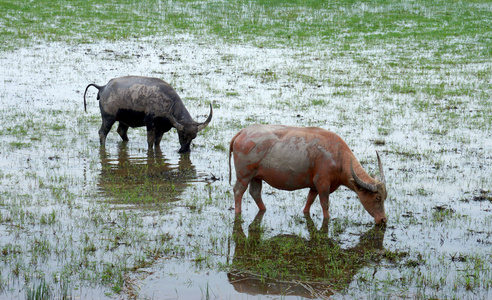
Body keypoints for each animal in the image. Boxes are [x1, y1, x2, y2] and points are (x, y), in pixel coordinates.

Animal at [83, 76, 213, 154]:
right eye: (182, 134)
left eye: (194, 137)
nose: (185, 151)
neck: (167, 101)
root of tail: (103, 87)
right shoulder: (150, 124)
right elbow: (150, 142)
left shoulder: (161, 129)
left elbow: (157, 142)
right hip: (108, 118)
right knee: (102, 133)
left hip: (123, 120)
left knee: (121, 131)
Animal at [229, 124, 386, 225]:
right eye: (377, 198)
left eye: (384, 197)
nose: (383, 220)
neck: (337, 156)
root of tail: (242, 132)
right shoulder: (323, 184)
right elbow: (325, 204)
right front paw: (327, 219)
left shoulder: (314, 186)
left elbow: (309, 200)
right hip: (244, 175)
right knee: (238, 191)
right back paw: (238, 212)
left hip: (256, 176)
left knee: (255, 192)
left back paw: (263, 209)